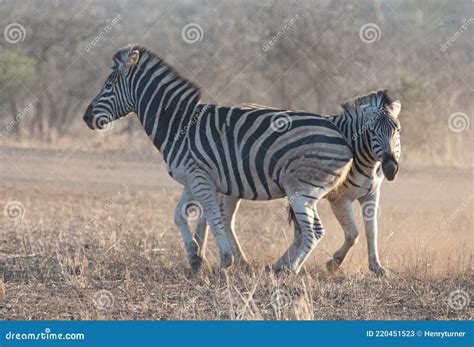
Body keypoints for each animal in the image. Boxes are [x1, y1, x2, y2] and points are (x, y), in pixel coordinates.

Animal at [82, 44, 356, 274]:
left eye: (108, 86)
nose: (86, 117)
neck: (178, 125)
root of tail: (339, 132)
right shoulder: (194, 178)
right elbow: (179, 215)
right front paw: (194, 257)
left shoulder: (201, 179)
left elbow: (214, 219)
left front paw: (225, 260)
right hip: (306, 192)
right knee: (310, 230)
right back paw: (284, 267)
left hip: (301, 190)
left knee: (314, 231)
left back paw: (290, 271)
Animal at [181, 91, 400, 276]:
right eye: (371, 131)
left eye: (397, 130)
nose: (390, 168)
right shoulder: (338, 198)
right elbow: (351, 233)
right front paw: (333, 263)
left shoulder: (371, 194)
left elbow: (372, 231)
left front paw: (376, 267)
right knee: (222, 217)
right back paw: (225, 260)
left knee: (211, 216)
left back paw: (207, 256)